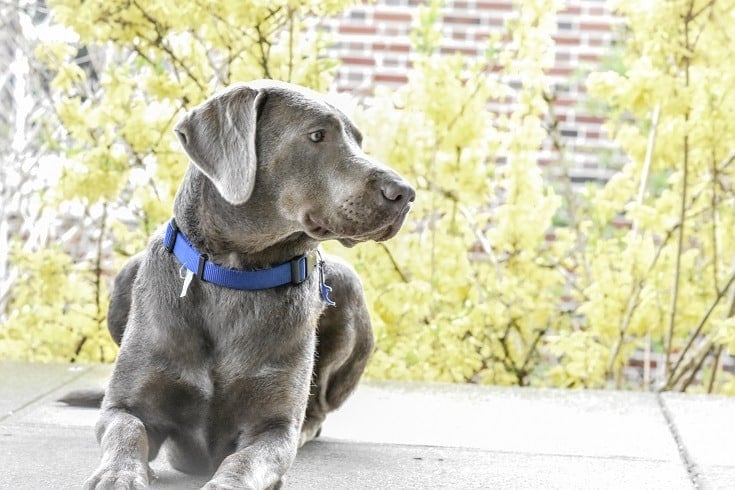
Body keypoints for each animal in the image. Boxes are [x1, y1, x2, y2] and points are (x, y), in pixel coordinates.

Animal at [82, 81, 414, 490]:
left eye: (358, 141)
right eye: (317, 135)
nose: (406, 193)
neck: (235, 275)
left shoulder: (272, 427)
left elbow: (244, 460)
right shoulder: (124, 406)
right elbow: (126, 431)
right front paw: (119, 474)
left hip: (347, 286)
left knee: (318, 409)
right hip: (125, 279)